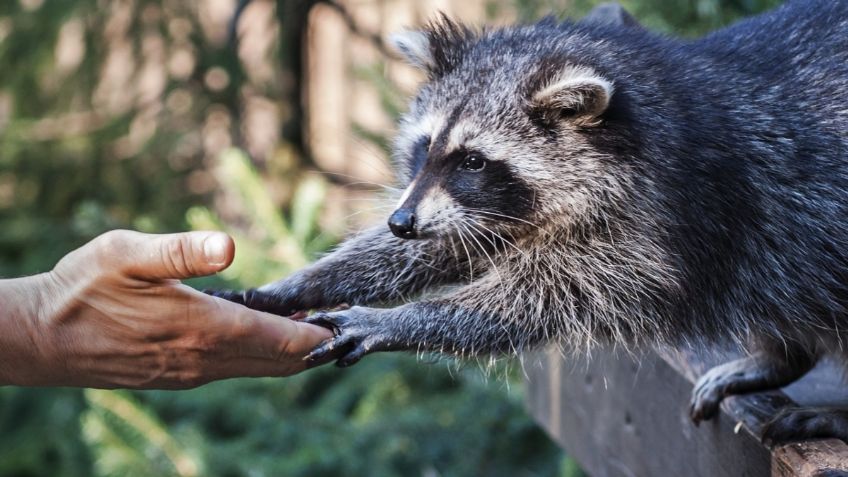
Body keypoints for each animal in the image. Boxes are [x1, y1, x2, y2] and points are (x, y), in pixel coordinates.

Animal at [214, 1, 848, 444]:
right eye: (425, 147)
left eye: (473, 160)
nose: (400, 222)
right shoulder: (478, 209)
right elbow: (454, 243)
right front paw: (303, 282)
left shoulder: (663, 220)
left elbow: (547, 297)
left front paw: (398, 320)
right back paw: (780, 358)